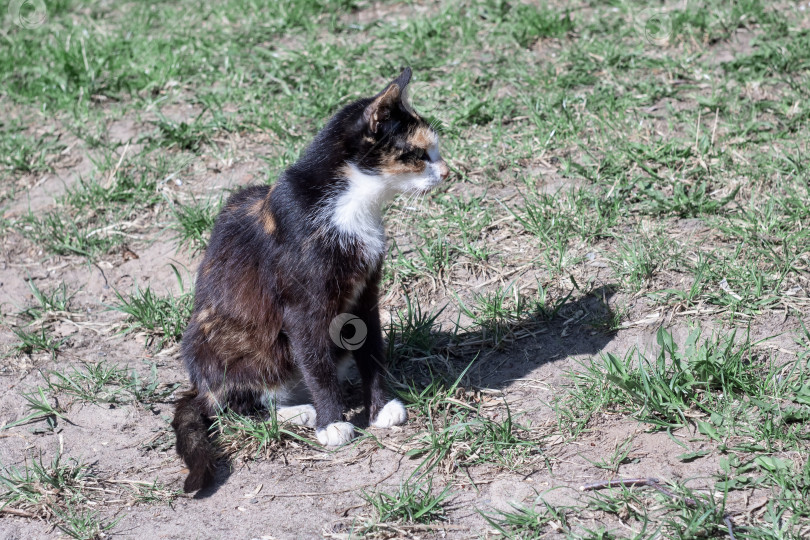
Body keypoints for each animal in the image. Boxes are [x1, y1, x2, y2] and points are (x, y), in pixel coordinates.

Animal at [170, 68, 448, 494]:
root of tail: (197, 386)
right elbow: (315, 362)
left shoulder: (365, 295)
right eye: (419, 155)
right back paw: (298, 412)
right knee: (233, 407)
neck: (353, 204)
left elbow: (372, 348)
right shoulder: (303, 308)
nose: (448, 172)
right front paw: (332, 422)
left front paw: (381, 406)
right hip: (223, 340)